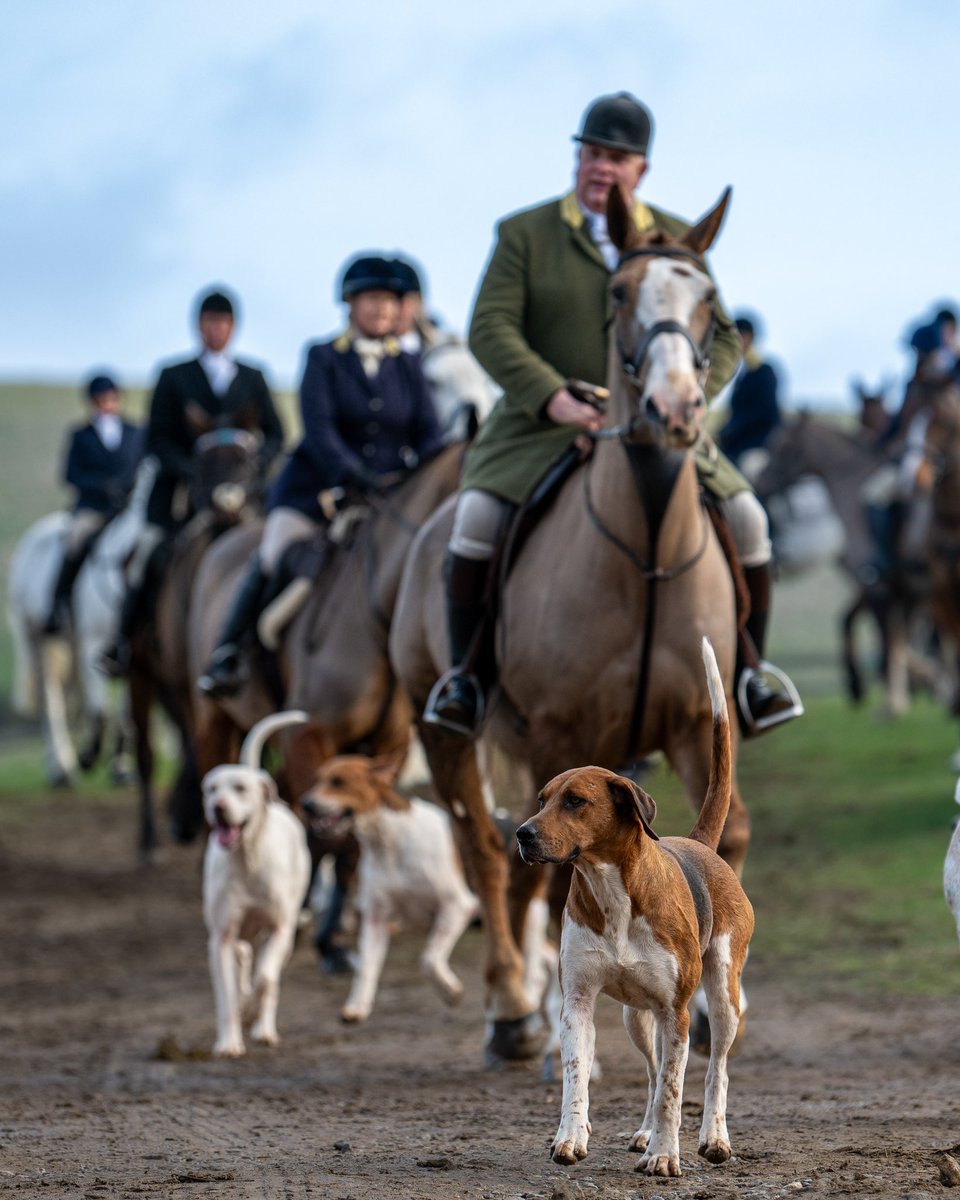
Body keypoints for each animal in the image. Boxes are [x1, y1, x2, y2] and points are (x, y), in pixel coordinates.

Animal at [388, 184, 748, 1060]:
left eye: (710, 300)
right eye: (619, 293)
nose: (675, 408)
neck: (645, 550)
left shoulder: (694, 729)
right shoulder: (560, 734)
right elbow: (543, 881)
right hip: (449, 733)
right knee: (489, 854)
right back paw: (511, 1009)